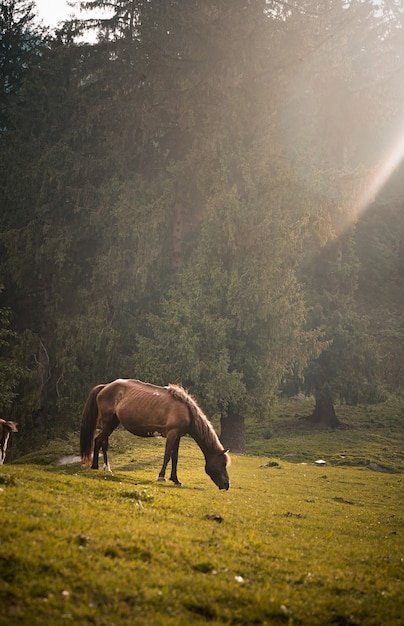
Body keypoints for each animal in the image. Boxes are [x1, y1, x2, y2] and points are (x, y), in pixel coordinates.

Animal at [79, 380, 230, 488]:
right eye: (223, 463)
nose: (227, 485)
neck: (187, 412)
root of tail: (105, 386)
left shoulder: (178, 436)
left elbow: (175, 458)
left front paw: (176, 480)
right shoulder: (172, 434)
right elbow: (167, 455)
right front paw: (161, 477)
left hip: (113, 422)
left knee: (101, 441)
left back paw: (103, 468)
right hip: (108, 421)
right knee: (100, 441)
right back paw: (98, 467)